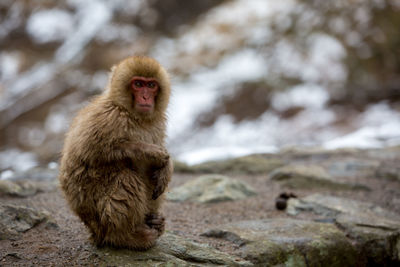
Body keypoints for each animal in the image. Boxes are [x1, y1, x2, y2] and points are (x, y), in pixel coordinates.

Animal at [59, 55, 172, 251]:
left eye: (151, 85)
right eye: (138, 84)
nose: (145, 97)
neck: (134, 116)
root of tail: (94, 232)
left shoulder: (157, 125)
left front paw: (166, 167)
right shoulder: (107, 117)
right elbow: (90, 150)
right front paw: (151, 152)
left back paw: (154, 222)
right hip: (96, 213)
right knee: (125, 177)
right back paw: (126, 237)